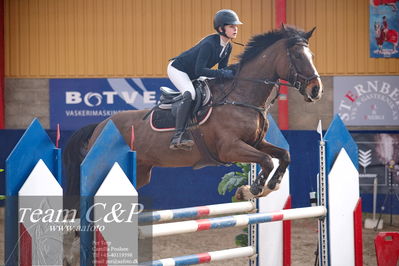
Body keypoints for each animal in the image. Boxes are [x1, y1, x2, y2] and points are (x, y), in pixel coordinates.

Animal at [64, 25, 324, 204]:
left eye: (312, 56)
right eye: (298, 56)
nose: (317, 90)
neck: (241, 97)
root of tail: (100, 125)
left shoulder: (255, 142)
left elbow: (283, 155)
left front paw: (270, 186)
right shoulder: (230, 148)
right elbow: (267, 160)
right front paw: (253, 189)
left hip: (141, 171)